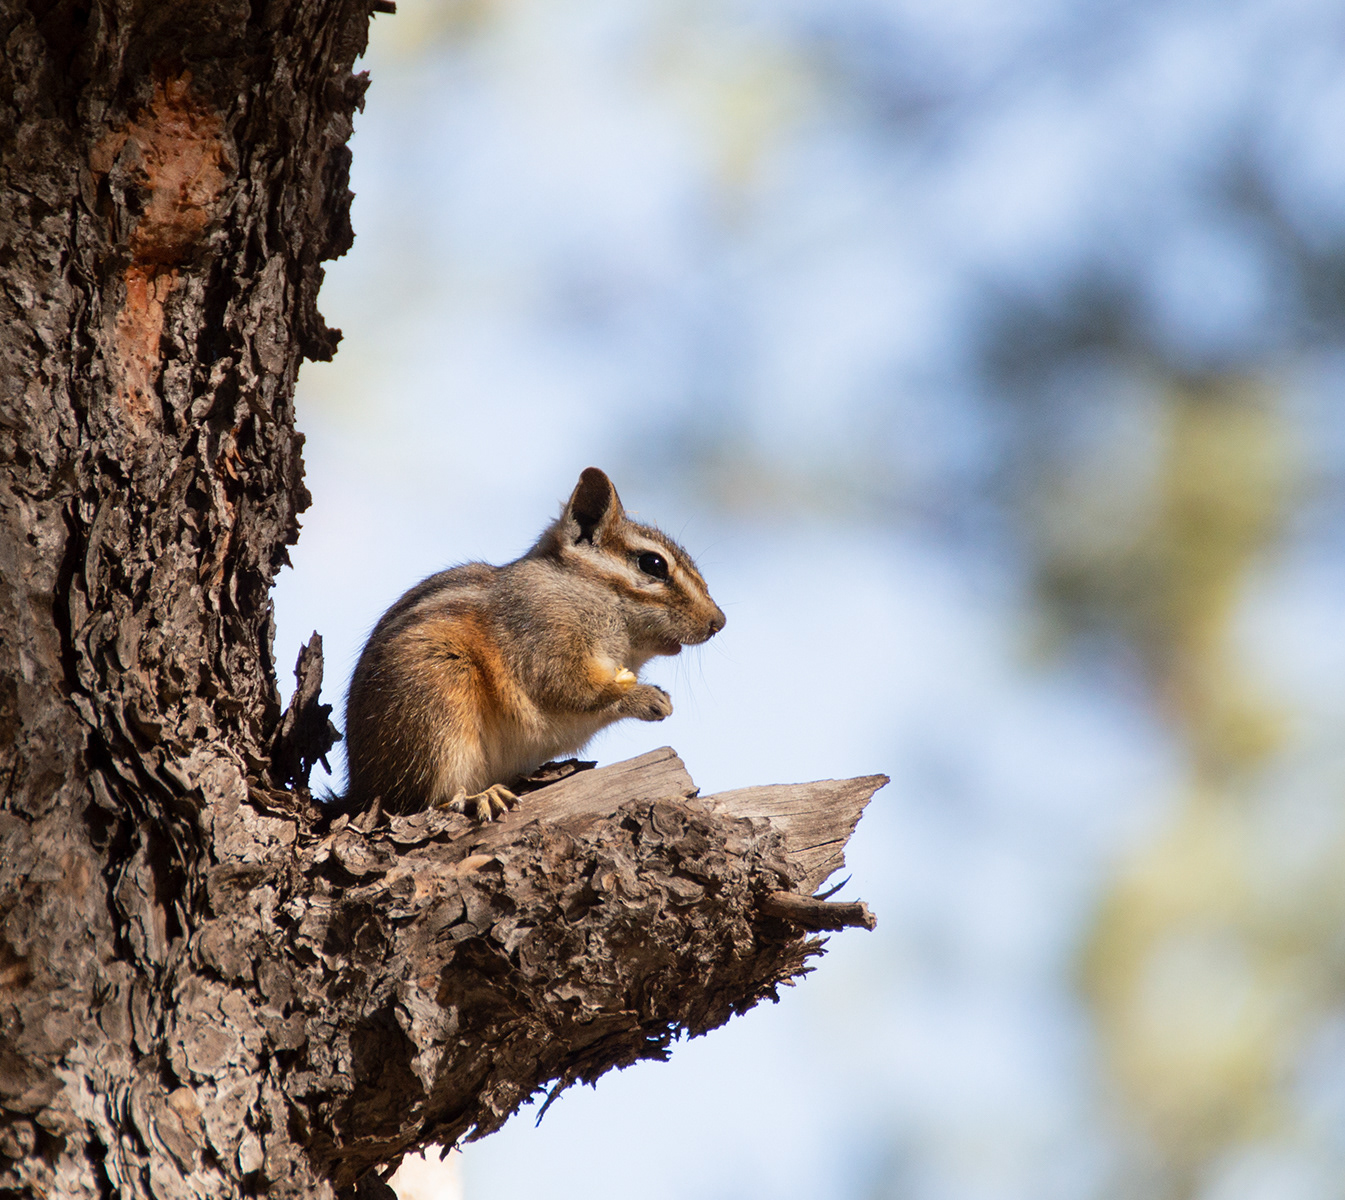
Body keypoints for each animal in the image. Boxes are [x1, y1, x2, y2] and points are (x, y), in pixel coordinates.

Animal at [344, 467, 726, 821]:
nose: (718, 622)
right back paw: (479, 796)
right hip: (437, 703)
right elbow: (572, 690)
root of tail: (360, 785)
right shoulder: (545, 642)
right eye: (653, 563)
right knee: (423, 798)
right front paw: (648, 698)